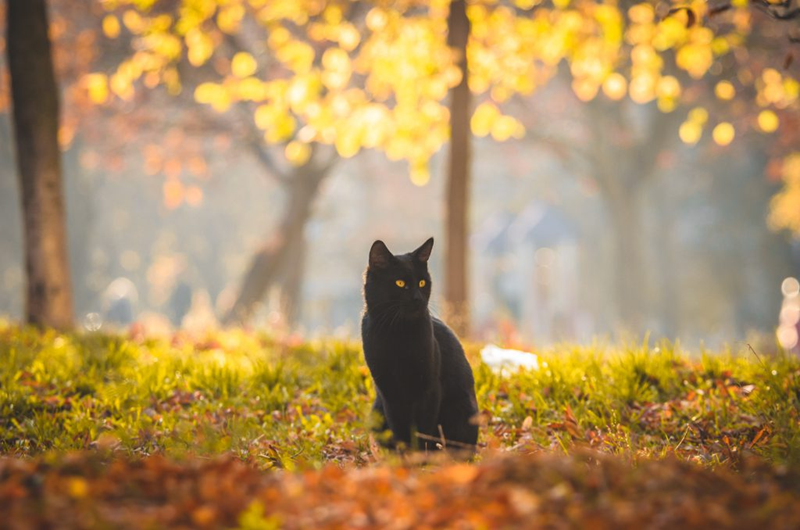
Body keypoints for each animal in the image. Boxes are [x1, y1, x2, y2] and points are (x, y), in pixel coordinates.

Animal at [364, 237, 482, 448]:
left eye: (422, 282)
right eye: (400, 283)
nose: (418, 298)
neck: (397, 334)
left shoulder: (429, 388)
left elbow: (422, 429)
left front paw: (420, 454)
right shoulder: (389, 392)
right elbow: (400, 428)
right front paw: (406, 455)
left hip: (462, 407)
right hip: (376, 413)